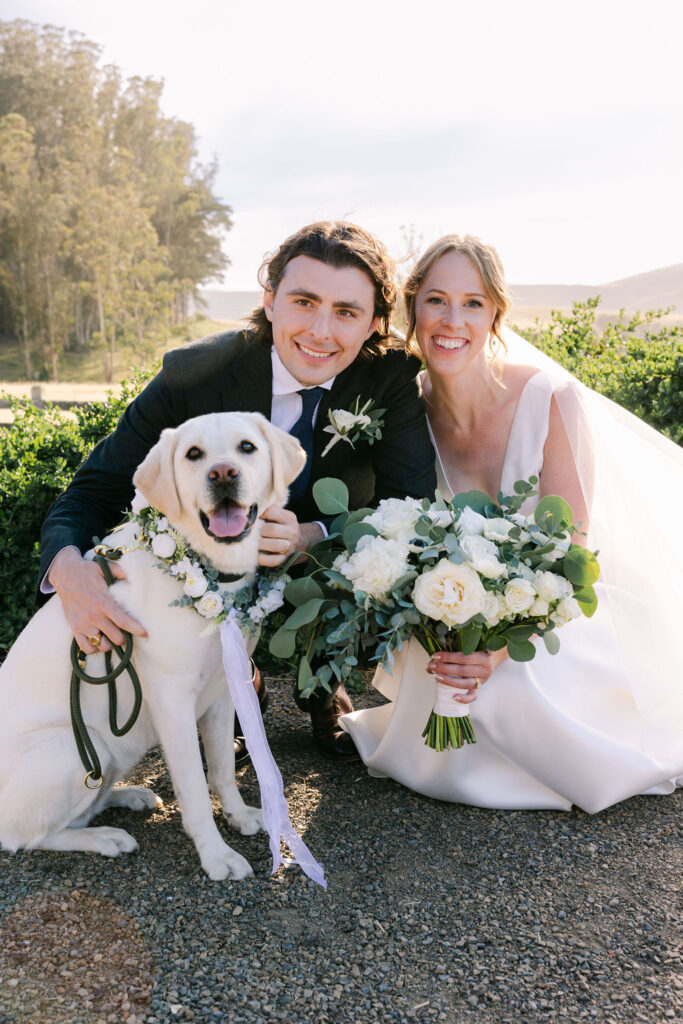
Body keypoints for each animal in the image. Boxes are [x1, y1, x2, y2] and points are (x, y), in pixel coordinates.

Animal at [0, 411, 305, 876]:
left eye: (247, 447)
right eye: (194, 454)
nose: (223, 474)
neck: (214, 574)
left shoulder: (223, 693)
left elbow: (222, 770)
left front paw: (238, 816)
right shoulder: (174, 702)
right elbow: (195, 789)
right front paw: (216, 855)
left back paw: (128, 795)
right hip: (78, 746)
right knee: (29, 837)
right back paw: (105, 837)